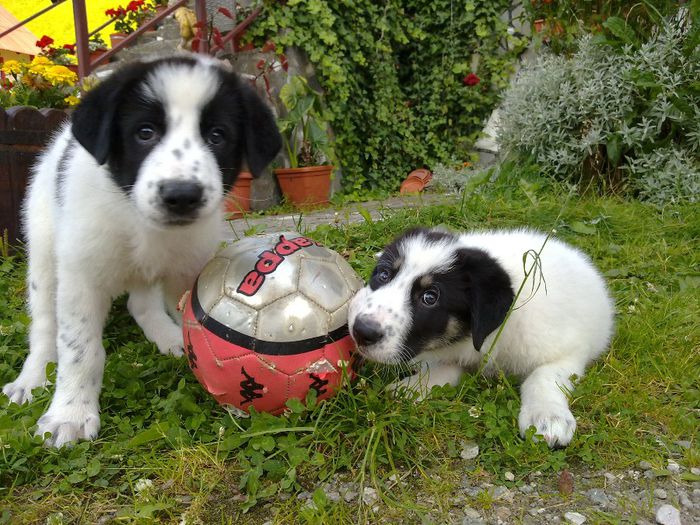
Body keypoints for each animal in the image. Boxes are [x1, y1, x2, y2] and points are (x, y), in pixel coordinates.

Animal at [3, 54, 282, 446]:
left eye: (217, 135)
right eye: (145, 132)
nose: (181, 195)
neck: (141, 223)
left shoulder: (189, 269)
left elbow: (192, 323)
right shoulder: (81, 275)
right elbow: (79, 349)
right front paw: (69, 414)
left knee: (141, 304)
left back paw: (167, 337)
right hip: (44, 250)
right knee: (44, 323)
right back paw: (32, 376)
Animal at [348, 227, 616, 448]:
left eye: (430, 297)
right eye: (384, 275)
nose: (361, 331)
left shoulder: (568, 351)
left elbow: (543, 377)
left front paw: (547, 417)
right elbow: (448, 367)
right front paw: (411, 387)